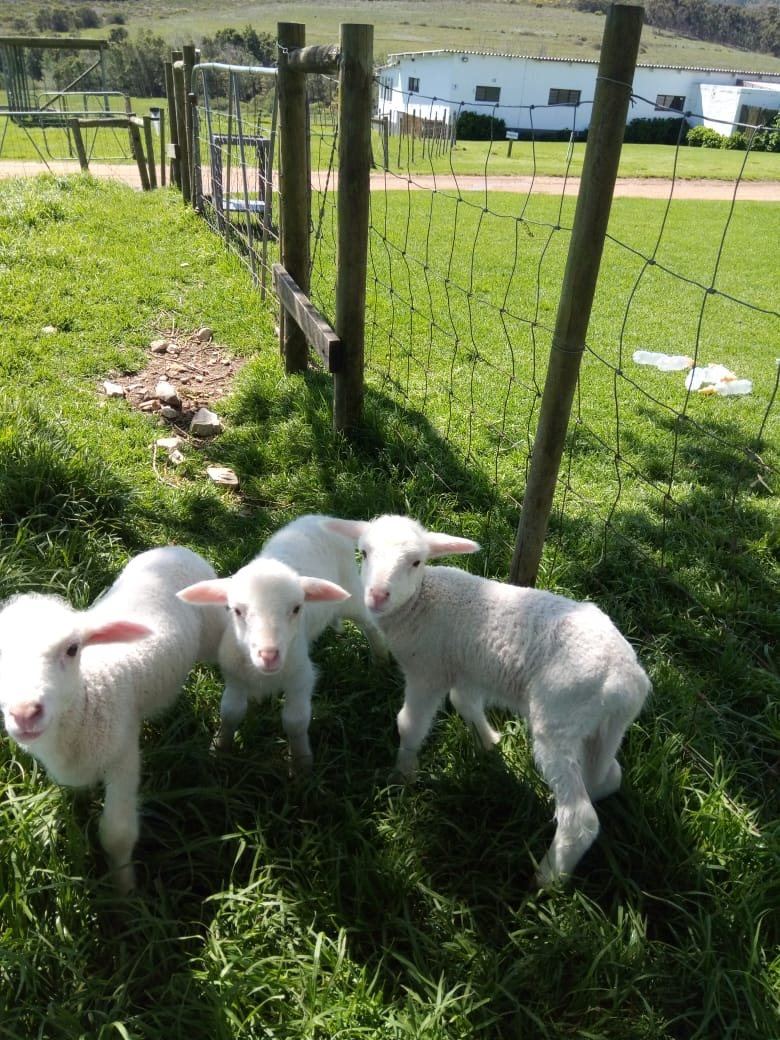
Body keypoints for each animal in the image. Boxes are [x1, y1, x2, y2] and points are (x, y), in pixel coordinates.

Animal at [0, 546, 226, 893]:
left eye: (72, 649)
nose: (25, 712)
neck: (89, 696)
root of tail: (176, 548)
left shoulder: (123, 757)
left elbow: (117, 834)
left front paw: (125, 891)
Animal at [177, 513, 386, 772]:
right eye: (236, 611)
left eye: (296, 609)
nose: (269, 655)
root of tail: (321, 517)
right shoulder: (234, 676)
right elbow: (230, 712)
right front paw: (219, 750)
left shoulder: (301, 677)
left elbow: (295, 722)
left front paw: (301, 764)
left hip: (351, 594)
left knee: (369, 623)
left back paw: (381, 659)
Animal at [325, 515, 651, 887]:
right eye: (363, 552)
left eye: (417, 561)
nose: (378, 596)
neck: (421, 601)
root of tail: (628, 680)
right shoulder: (465, 669)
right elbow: (464, 703)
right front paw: (489, 742)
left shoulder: (427, 671)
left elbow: (409, 724)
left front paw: (402, 774)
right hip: (599, 727)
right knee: (608, 776)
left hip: (559, 715)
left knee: (581, 819)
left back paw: (547, 878)